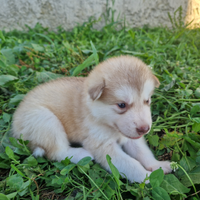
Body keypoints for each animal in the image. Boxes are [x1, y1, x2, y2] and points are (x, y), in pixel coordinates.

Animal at [12, 55, 172, 183]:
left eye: (147, 101)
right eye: (121, 105)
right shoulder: (103, 147)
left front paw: (157, 165)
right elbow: (131, 164)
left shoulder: (131, 138)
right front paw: (147, 177)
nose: (144, 129)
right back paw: (82, 153)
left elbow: (143, 152)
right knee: (57, 152)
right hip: (46, 120)